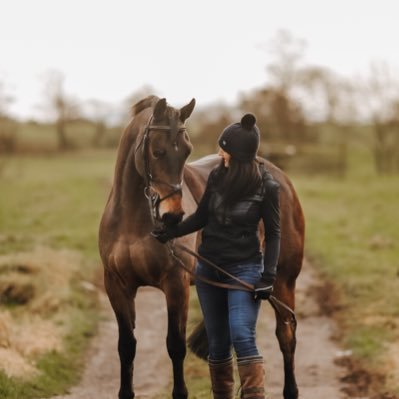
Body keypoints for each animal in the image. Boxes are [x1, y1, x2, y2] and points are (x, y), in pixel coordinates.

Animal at [98, 97, 304, 399]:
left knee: (286, 336)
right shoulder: (117, 285)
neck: (133, 220)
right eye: (157, 151)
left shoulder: (176, 284)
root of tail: (280, 177)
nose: (172, 216)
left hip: (283, 282)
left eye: (187, 151)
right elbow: (126, 346)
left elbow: (175, 345)